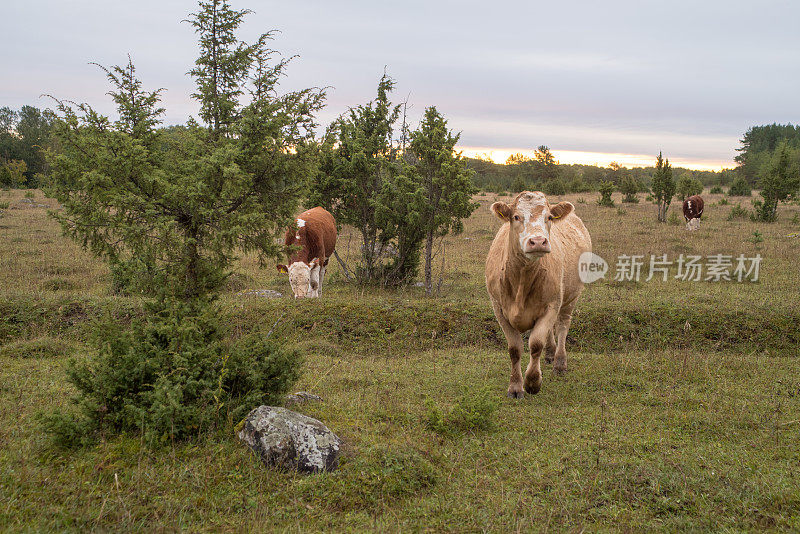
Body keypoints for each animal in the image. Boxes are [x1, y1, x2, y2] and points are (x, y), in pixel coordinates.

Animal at [484, 192, 592, 398]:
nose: (538, 242)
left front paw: (533, 382)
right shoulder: (498, 308)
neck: (522, 279)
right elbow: (515, 349)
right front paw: (515, 387)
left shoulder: (552, 305)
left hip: (570, 298)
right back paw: (550, 354)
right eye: (516, 217)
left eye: (549, 217)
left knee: (562, 326)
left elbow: (535, 344)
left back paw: (559, 362)